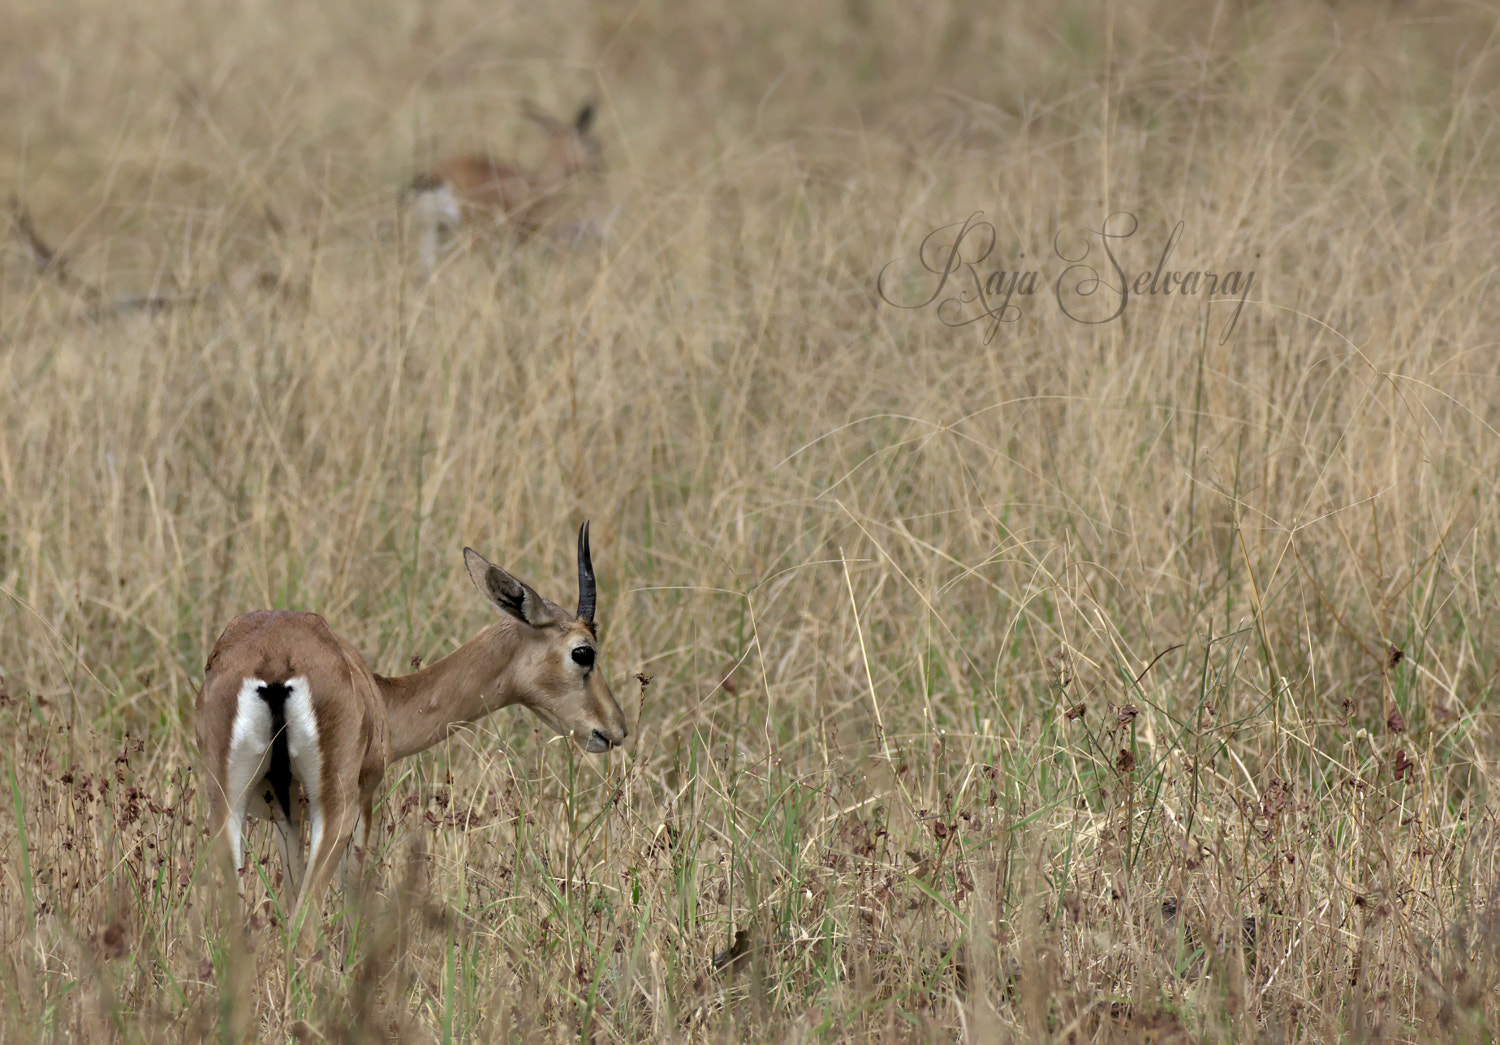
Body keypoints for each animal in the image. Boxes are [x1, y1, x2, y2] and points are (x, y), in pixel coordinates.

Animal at [194, 522, 628, 946]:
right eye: (583, 652)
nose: (614, 729)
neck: (383, 698)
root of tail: (275, 661)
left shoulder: (288, 817)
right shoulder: (363, 800)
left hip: (227, 808)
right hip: (332, 810)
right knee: (306, 925)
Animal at [406, 99, 608, 276]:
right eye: (594, 145)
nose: (601, 168)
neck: (537, 185)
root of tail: (436, 176)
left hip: (433, 231)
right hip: (470, 237)